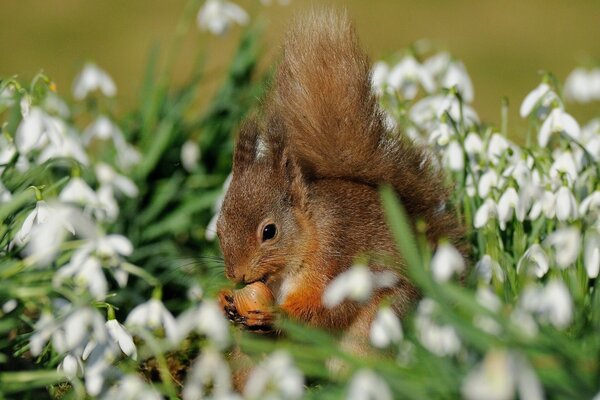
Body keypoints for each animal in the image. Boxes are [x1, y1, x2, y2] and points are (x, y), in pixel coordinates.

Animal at [216, 7, 464, 388]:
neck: (309, 232)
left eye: (269, 232)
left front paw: (275, 315)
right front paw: (223, 299)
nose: (237, 276)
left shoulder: (335, 254)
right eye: (219, 229)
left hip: (373, 330)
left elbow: (320, 308)